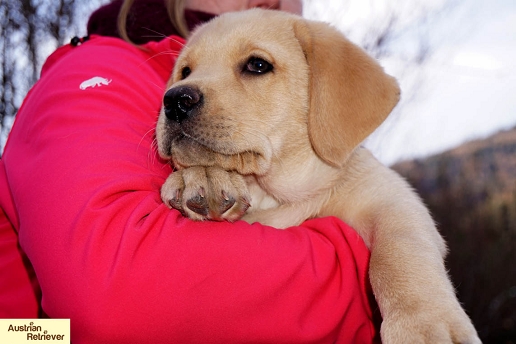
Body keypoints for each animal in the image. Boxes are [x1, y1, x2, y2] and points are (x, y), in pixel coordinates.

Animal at [155, 8, 482, 344]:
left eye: (257, 65)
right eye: (185, 71)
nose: (175, 100)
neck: (274, 195)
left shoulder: (389, 197)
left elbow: (400, 250)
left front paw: (425, 324)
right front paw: (202, 176)